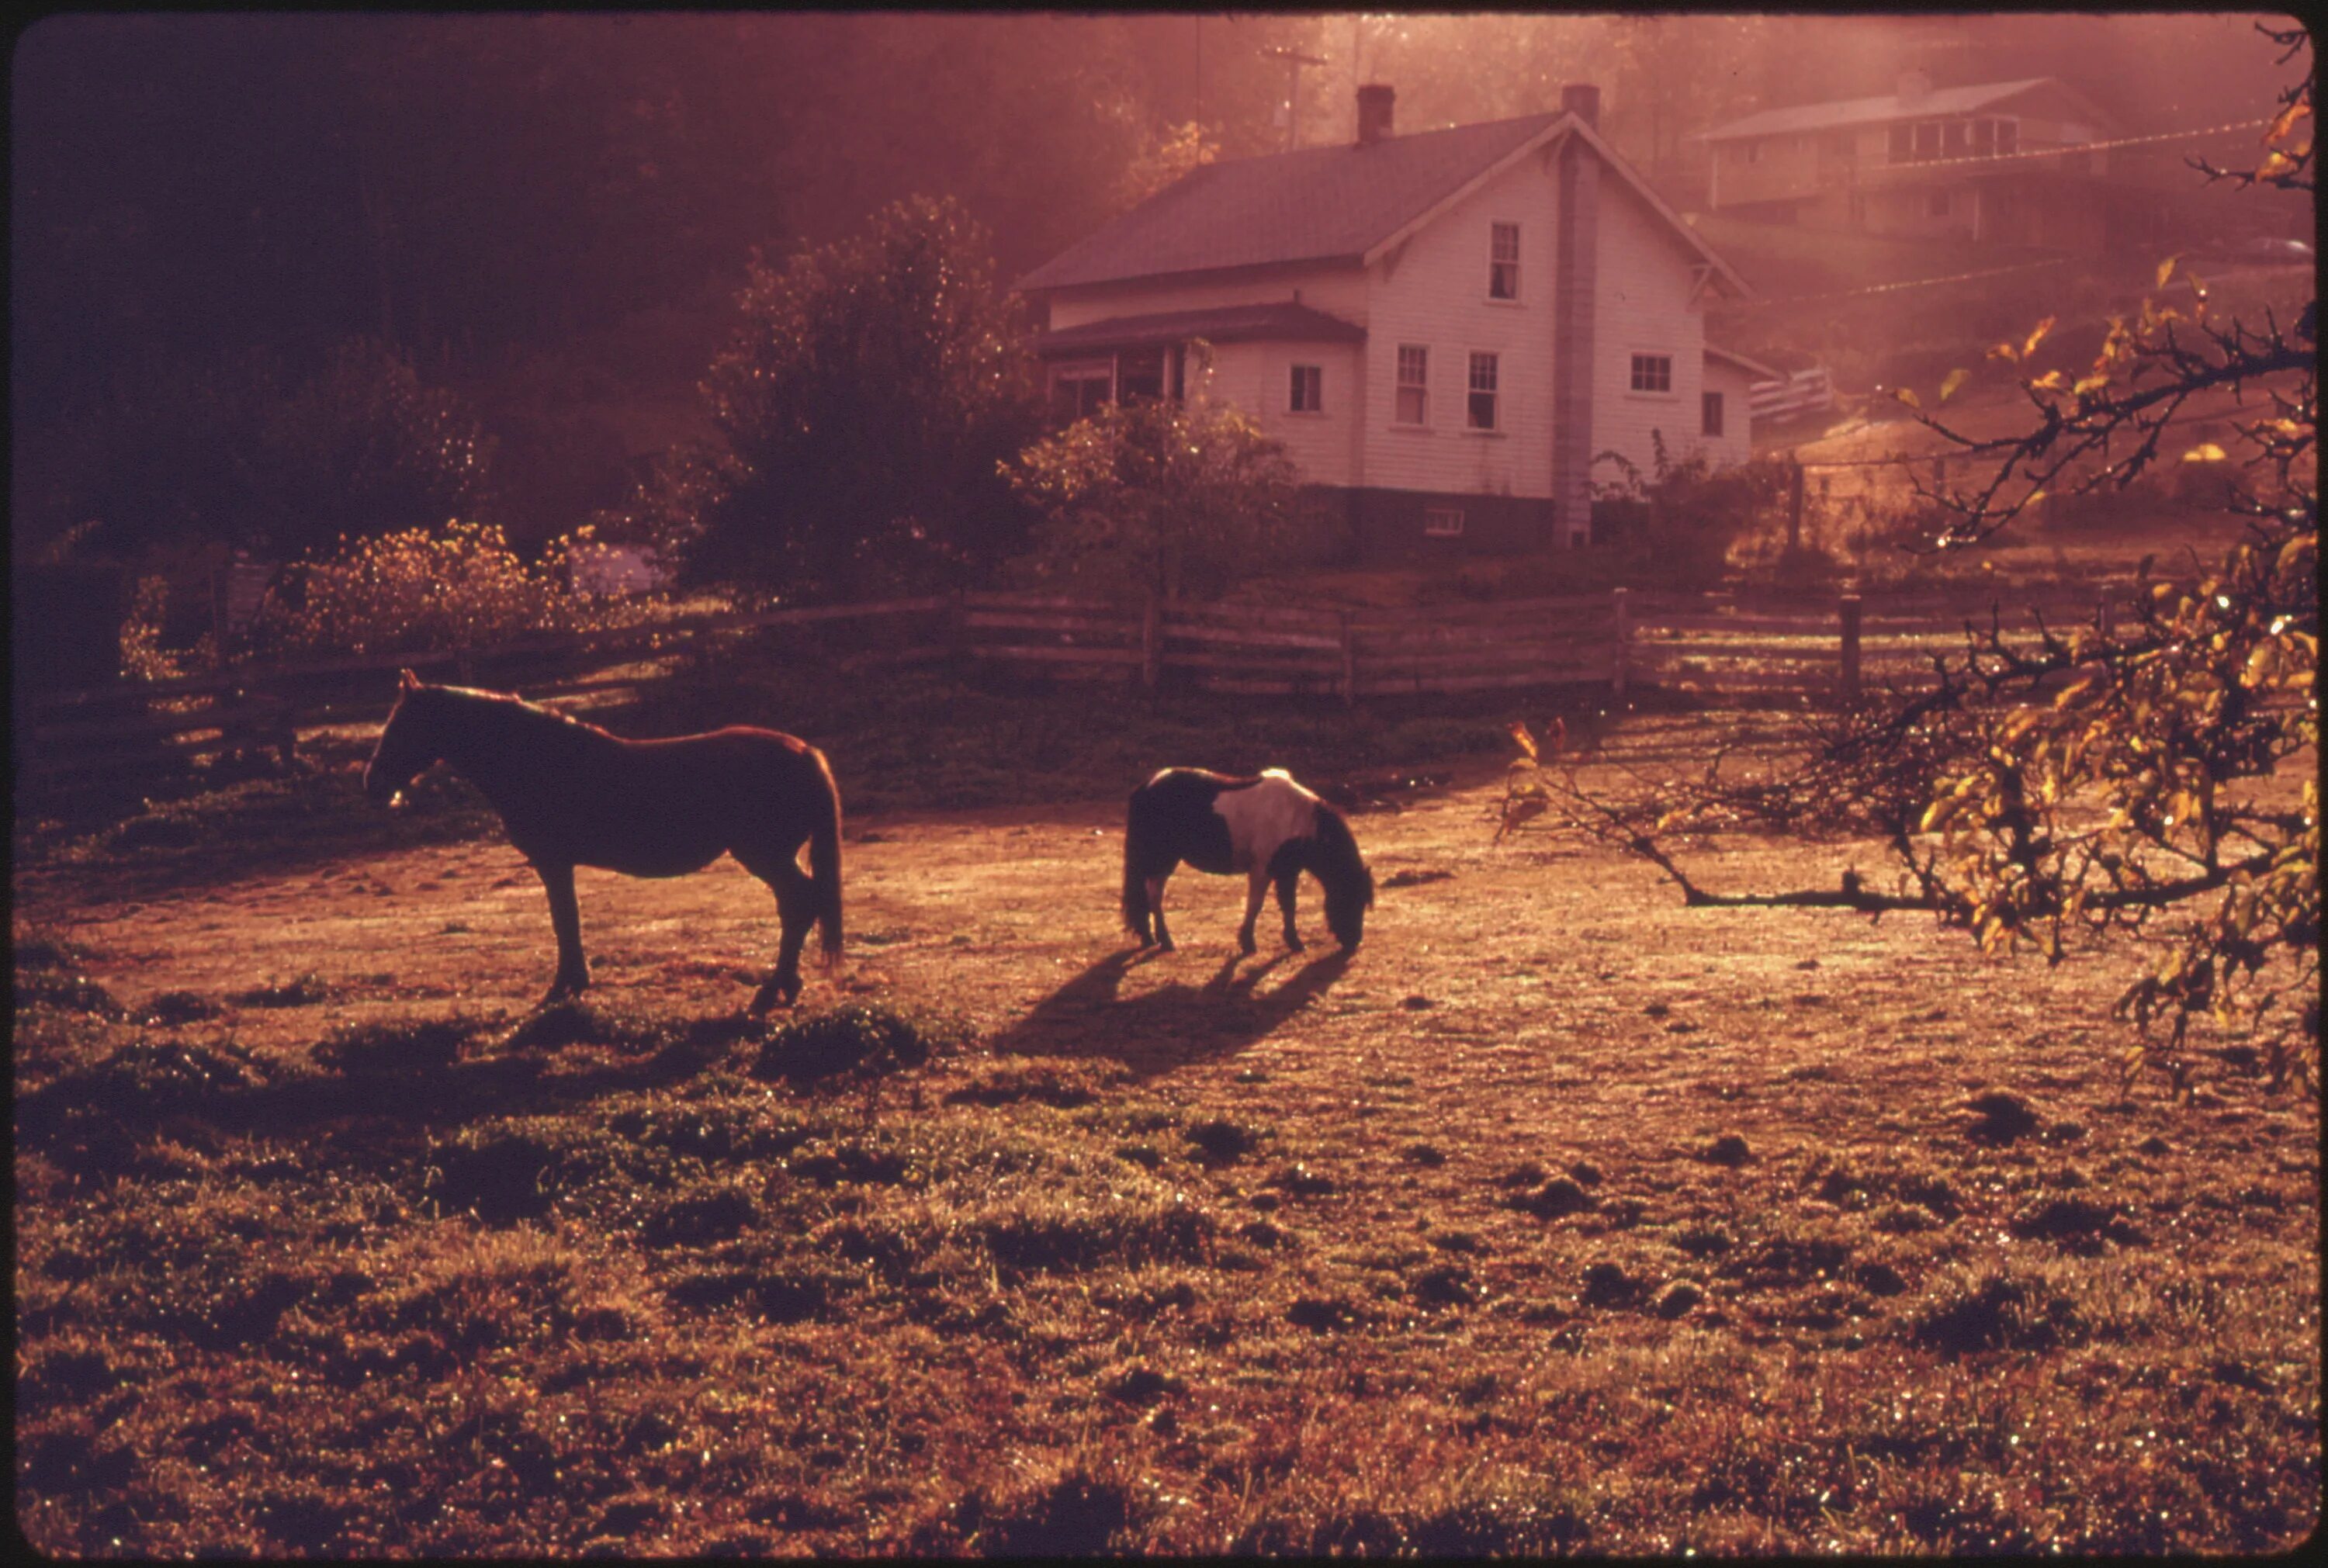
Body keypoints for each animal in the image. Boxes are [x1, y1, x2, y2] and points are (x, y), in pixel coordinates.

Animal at [359, 665, 843, 1009]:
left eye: (403, 726)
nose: (373, 785)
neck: (538, 761)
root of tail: (806, 752)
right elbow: (568, 920)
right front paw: (573, 984)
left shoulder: (554, 863)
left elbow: (565, 921)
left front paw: (564, 988)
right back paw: (784, 985)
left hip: (766, 855)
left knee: (799, 904)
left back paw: (775, 988)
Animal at [1122, 767, 1369, 954]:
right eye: (1352, 899)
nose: (1354, 942)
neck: (1296, 818)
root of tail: (1147, 785)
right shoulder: (1263, 870)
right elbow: (1255, 904)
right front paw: (1249, 942)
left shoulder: (1287, 872)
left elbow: (1289, 906)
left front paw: (1293, 942)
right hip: (1161, 860)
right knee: (1154, 895)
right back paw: (1165, 940)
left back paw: (1148, 937)